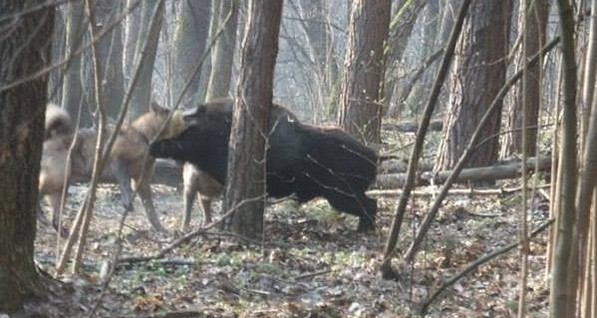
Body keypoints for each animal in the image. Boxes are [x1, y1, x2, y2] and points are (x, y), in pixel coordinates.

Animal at [39, 102, 185, 234]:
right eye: (169, 111)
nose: (187, 115)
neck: (143, 135)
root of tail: (48, 138)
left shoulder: (142, 182)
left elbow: (151, 212)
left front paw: (161, 230)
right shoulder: (118, 160)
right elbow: (125, 184)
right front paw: (127, 202)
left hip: (61, 189)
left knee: (54, 220)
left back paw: (63, 232)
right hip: (58, 179)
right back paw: (41, 217)